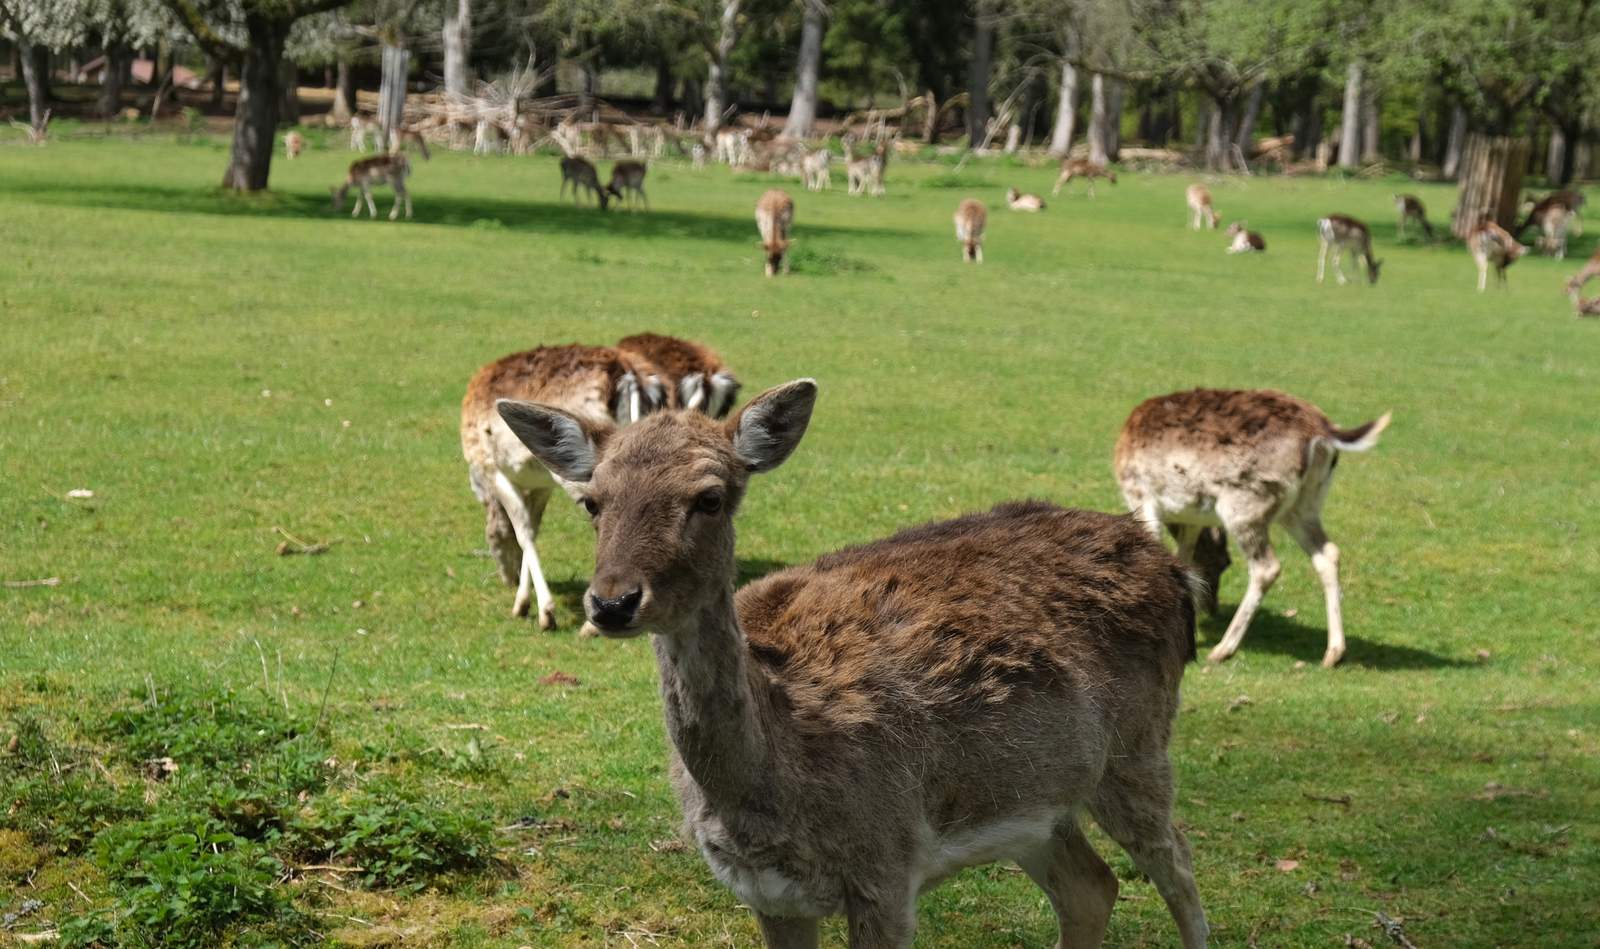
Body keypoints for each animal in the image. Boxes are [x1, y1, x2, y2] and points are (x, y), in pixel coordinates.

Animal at [495, 380, 1209, 948]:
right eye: (592, 501)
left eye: (710, 497)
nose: (612, 602)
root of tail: (1175, 573)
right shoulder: (766, 894)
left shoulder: (888, 869)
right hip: (1037, 806)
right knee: (1092, 887)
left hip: (1139, 749)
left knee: (1180, 867)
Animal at [1116, 387, 1390, 668]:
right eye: (1221, 562)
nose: (1212, 608)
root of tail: (1320, 429)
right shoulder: (1191, 520)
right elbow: (1183, 557)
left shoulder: (1140, 494)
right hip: (1304, 506)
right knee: (1329, 553)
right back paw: (1334, 653)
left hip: (1245, 503)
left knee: (1266, 567)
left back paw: (1223, 648)